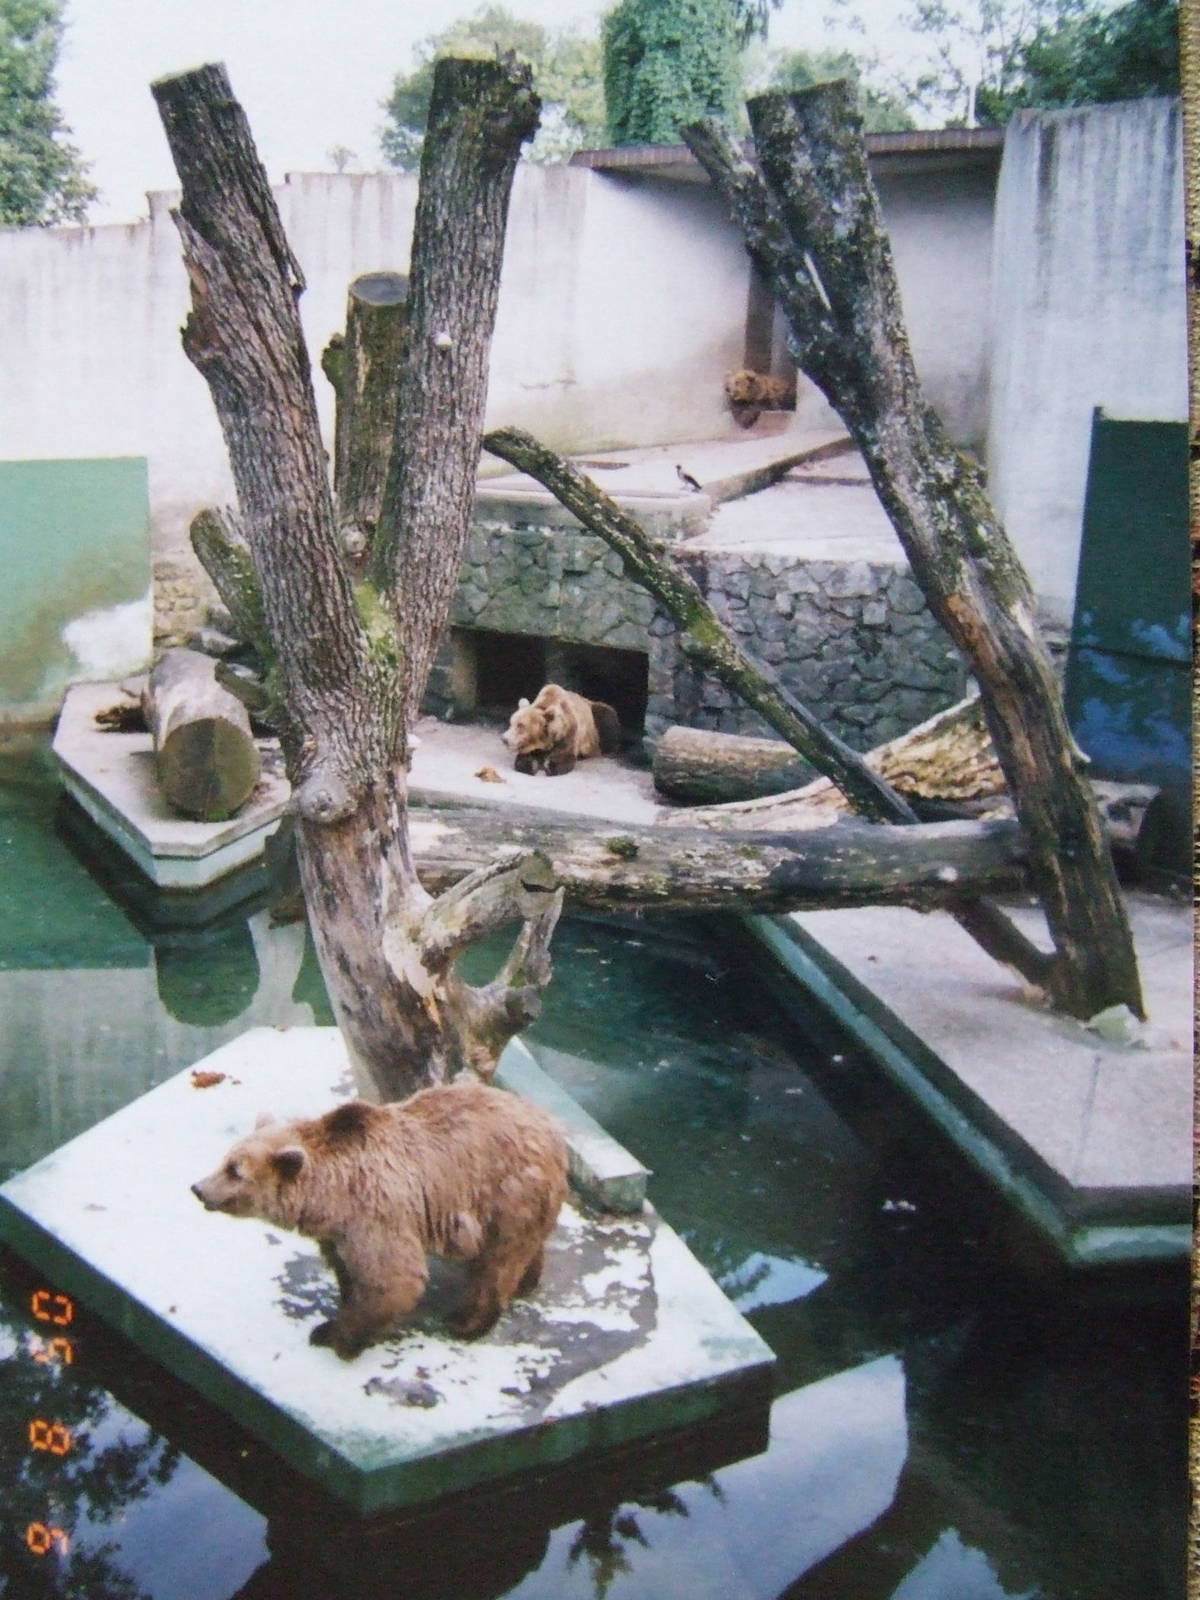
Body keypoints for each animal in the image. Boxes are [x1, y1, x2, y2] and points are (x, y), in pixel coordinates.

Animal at [190, 1081, 568, 1359]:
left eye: (235, 1171)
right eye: (225, 1159)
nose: (198, 1188)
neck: (330, 1192)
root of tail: (554, 1131)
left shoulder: (376, 1211)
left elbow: (392, 1277)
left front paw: (336, 1335)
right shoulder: (338, 1230)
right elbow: (349, 1270)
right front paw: (340, 1309)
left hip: (507, 1192)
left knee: (496, 1263)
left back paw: (466, 1322)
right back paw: (527, 1281)